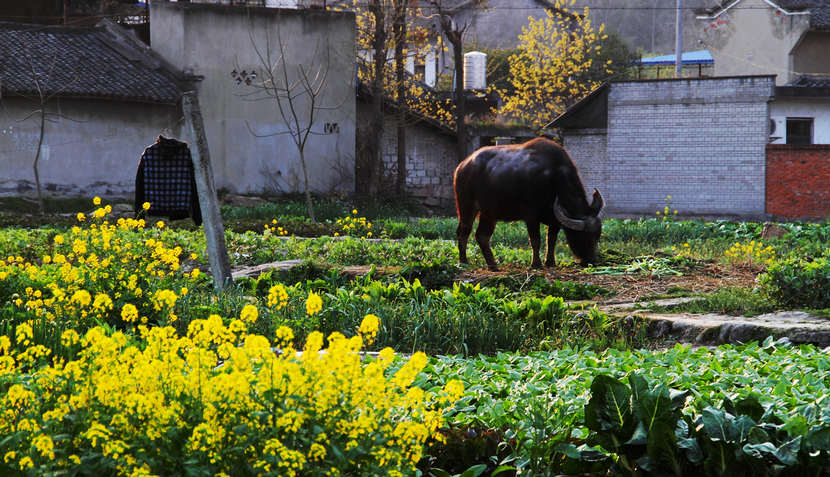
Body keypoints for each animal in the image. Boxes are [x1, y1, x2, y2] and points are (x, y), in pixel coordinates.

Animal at [456, 138, 604, 272]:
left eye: (597, 236)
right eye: (583, 236)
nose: (592, 261)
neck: (553, 176)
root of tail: (463, 165)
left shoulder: (555, 220)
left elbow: (551, 240)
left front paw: (550, 262)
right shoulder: (531, 216)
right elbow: (535, 240)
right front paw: (536, 264)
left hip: (489, 213)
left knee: (482, 236)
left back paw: (492, 265)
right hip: (466, 207)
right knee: (464, 232)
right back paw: (464, 261)